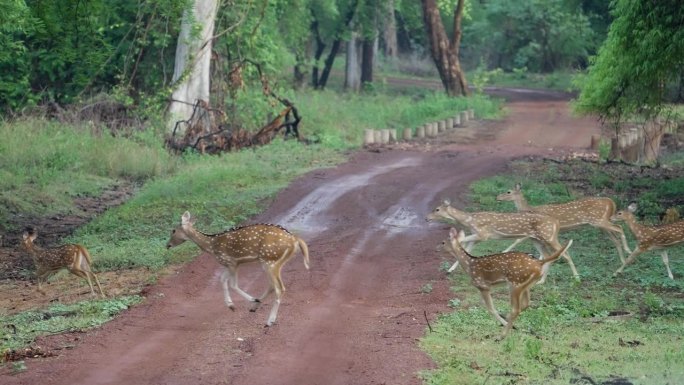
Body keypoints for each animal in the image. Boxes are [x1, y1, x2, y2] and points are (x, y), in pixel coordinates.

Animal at [167, 212, 312, 326]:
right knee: (272, 286)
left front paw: (249, 300)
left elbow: (233, 284)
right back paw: (255, 307)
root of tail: (295, 240)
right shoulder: (229, 264)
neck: (211, 246)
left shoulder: (231, 262)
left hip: (270, 260)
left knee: (279, 288)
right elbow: (222, 280)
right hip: (272, 262)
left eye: (173, 230)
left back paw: (269, 320)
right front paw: (231, 306)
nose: (167, 245)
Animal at [428, 198, 576, 282]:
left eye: (437, 209)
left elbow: (462, 241)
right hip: (537, 239)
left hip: (548, 236)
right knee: (548, 255)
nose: (426, 217)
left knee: (565, 253)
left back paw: (576, 278)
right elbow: (466, 248)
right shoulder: (477, 237)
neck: (469, 221)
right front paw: (449, 270)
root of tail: (556, 222)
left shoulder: (483, 234)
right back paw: (541, 281)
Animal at [444, 228, 572, 336]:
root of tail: (539, 263)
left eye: (443, 243)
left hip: (515, 283)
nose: (440, 246)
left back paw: (502, 334)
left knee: (517, 308)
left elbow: (491, 309)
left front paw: (504, 323)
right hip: (526, 285)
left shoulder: (482, 285)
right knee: (526, 304)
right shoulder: (485, 287)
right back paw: (509, 321)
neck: (469, 265)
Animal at [496, 184, 632, 262]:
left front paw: (503, 252)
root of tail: (611, 202)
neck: (531, 209)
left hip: (598, 221)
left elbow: (518, 239)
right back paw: (622, 263)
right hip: (600, 224)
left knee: (619, 227)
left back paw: (628, 252)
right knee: (615, 239)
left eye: (508, 191)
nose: (497, 197)